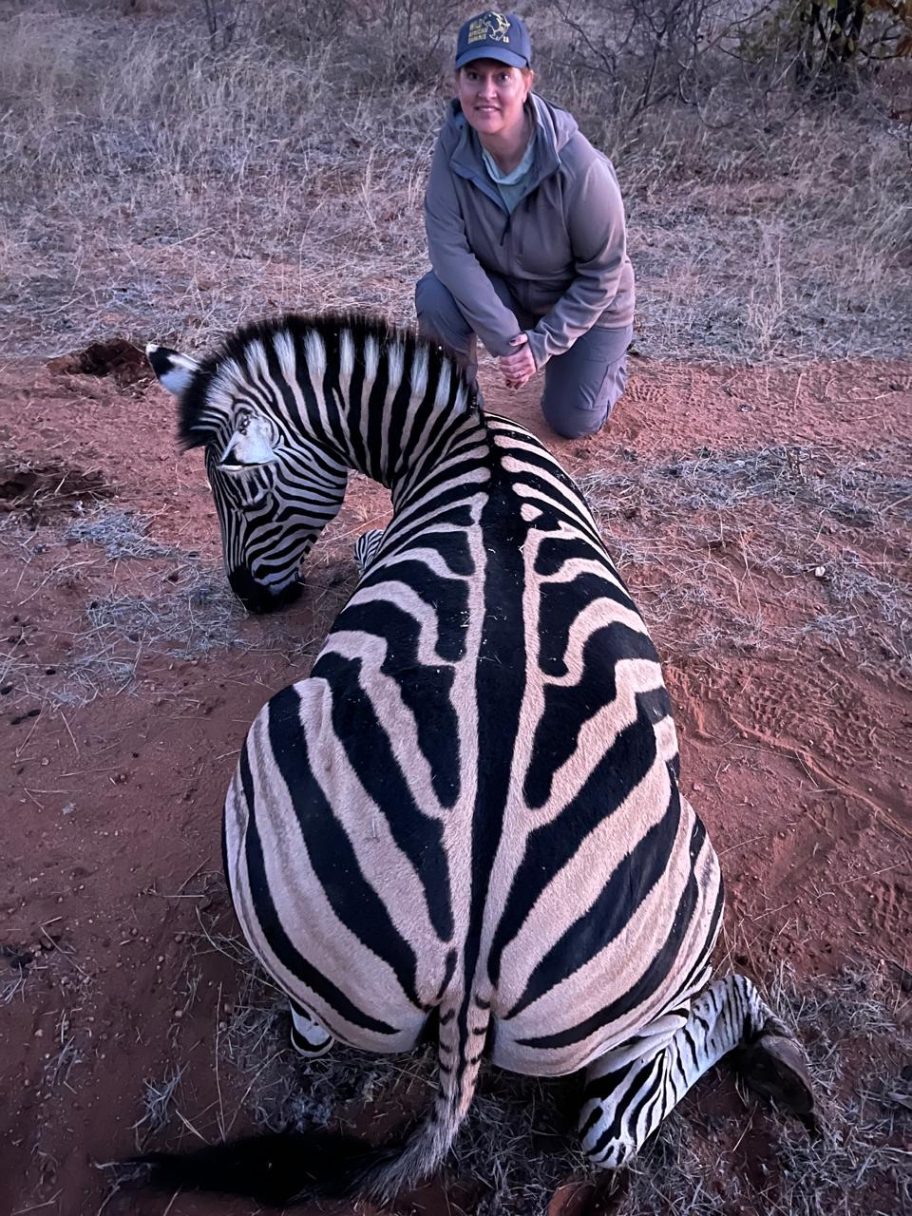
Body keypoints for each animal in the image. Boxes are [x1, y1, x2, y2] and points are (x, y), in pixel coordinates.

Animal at [136, 313, 814, 1206]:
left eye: (237, 491)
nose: (251, 599)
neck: (463, 436)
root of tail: (472, 969)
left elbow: (367, 541)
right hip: (683, 894)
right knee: (614, 1112)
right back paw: (777, 1056)